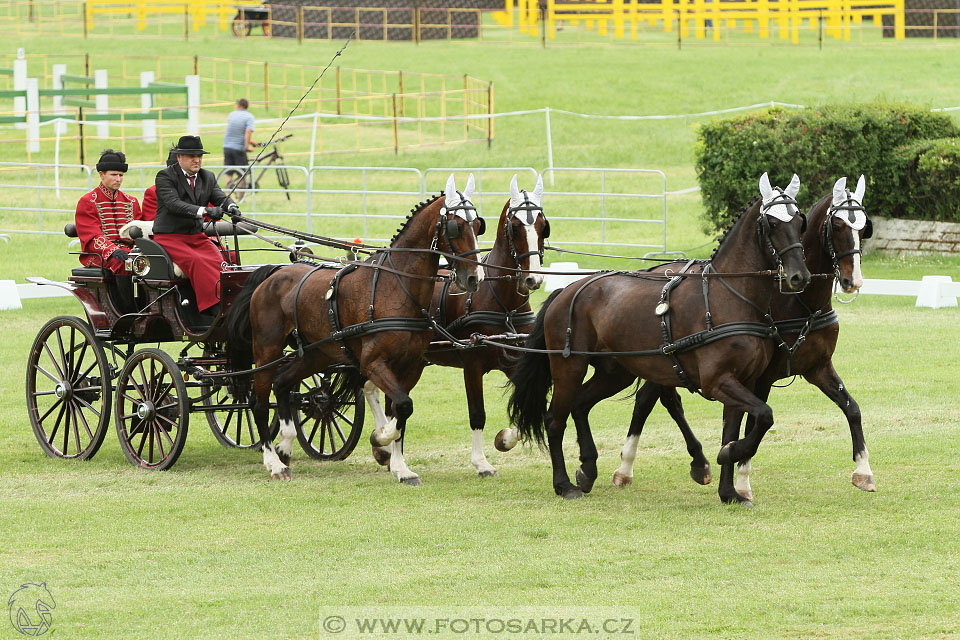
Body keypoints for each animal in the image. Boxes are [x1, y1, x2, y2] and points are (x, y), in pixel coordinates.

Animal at [222, 172, 484, 482]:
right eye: (456, 227)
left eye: (478, 225)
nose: (474, 278)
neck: (396, 288)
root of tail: (272, 273)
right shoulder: (372, 362)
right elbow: (402, 407)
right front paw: (380, 440)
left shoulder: (411, 365)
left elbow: (400, 409)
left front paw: (400, 466)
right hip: (267, 350)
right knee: (259, 403)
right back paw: (274, 463)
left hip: (316, 354)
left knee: (283, 383)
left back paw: (285, 444)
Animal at [398, 174, 548, 476]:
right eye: (515, 227)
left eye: (542, 226)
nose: (533, 279)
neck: (503, 305)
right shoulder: (472, 364)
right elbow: (477, 413)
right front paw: (481, 462)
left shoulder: (514, 360)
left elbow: (527, 399)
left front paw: (504, 438)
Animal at [506, 172, 812, 502]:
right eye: (772, 224)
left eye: (800, 221)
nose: (800, 276)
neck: (728, 296)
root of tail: (567, 290)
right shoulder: (718, 381)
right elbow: (765, 415)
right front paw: (728, 455)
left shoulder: (743, 381)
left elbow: (736, 429)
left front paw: (729, 488)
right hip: (569, 367)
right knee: (555, 419)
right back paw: (563, 484)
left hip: (616, 372)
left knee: (581, 404)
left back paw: (587, 468)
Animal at [608, 176, 876, 500]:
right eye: (836, 226)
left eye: (864, 227)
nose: (853, 281)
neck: (800, 302)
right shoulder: (761, 377)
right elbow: (753, 424)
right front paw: (743, 481)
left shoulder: (818, 367)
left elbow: (852, 409)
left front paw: (863, 470)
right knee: (651, 400)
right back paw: (632, 467)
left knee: (655, 398)